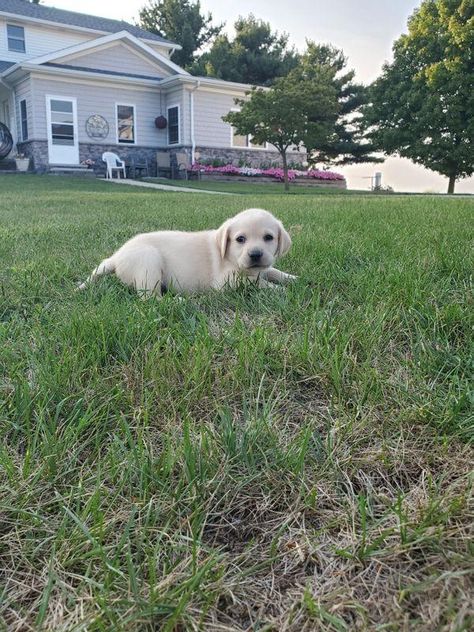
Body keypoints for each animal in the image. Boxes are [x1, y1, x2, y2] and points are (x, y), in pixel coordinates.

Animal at [80, 207, 296, 296]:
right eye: (240, 239)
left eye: (268, 237)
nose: (256, 254)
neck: (231, 257)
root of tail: (116, 257)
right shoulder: (226, 281)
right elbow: (257, 282)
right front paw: (280, 290)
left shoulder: (261, 268)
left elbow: (272, 271)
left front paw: (292, 278)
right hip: (147, 262)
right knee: (150, 299)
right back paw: (179, 302)